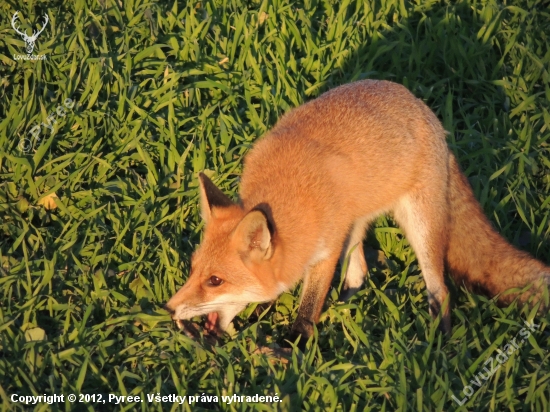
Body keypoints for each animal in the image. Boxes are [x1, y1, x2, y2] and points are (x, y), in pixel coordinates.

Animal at [165, 79, 550, 344]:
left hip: (419, 227)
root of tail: (424, 108)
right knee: (359, 275)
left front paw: (294, 344)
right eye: (193, 270)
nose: (168, 308)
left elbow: (309, 304)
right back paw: (347, 307)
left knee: (440, 291)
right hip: (356, 224)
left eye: (215, 281)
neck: (289, 194)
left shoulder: (326, 247)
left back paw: (436, 345)